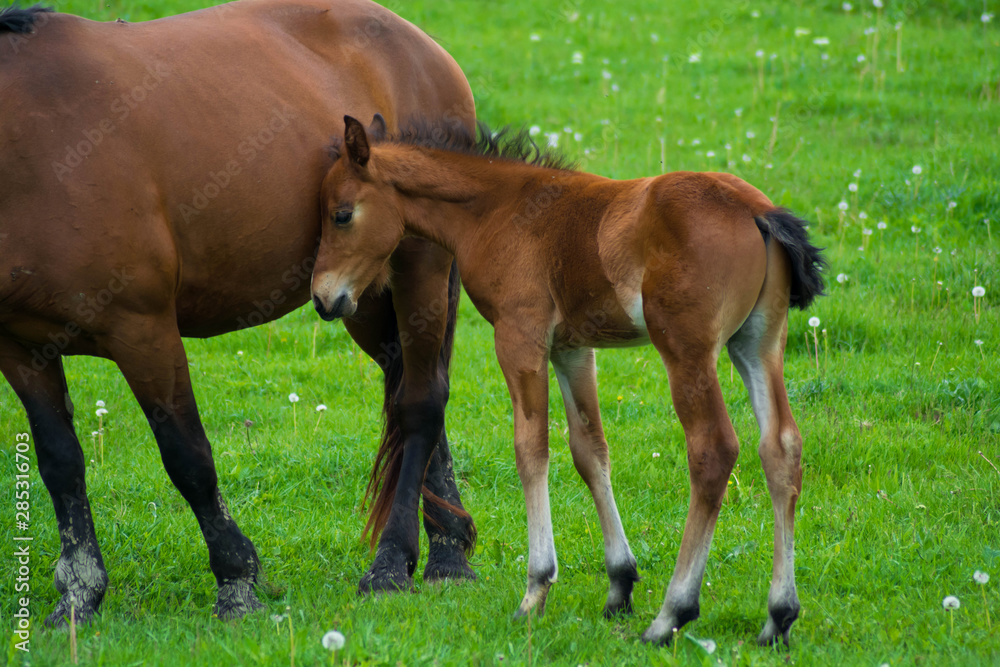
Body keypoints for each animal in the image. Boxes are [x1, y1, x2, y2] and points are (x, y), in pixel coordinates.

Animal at [0, 1, 479, 626]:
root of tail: (423, 47)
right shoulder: (22, 349)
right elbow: (60, 465)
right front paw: (79, 594)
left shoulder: (142, 329)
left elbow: (188, 458)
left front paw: (236, 580)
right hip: (364, 297)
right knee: (415, 394)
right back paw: (448, 552)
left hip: (418, 268)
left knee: (421, 403)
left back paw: (395, 564)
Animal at [311, 116, 826, 646]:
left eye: (341, 215)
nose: (324, 299)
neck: (498, 210)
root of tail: (755, 210)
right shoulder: (572, 349)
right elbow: (589, 451)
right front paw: (619, 584)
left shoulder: (520, 340)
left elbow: (531, 449)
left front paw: (535, 589)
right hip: (758, 342)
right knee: (781, 446)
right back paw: (778, 615)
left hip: (687, 350)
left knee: (713, 449)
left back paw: (672, 613)